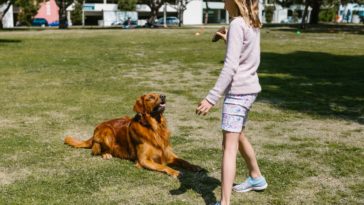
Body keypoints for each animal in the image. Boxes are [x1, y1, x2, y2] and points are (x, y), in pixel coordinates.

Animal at [65, 93, 202, 178]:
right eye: (150, 97)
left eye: (158, 94)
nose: (163, 96)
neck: (154, 128)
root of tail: (95, 130)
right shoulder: (143, 160)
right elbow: (162, 166)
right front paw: (174, 172)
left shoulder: (168, 153)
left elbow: (183, 161)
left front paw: (194, 166)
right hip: (107, 132)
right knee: (97, 150)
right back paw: (107, 154)